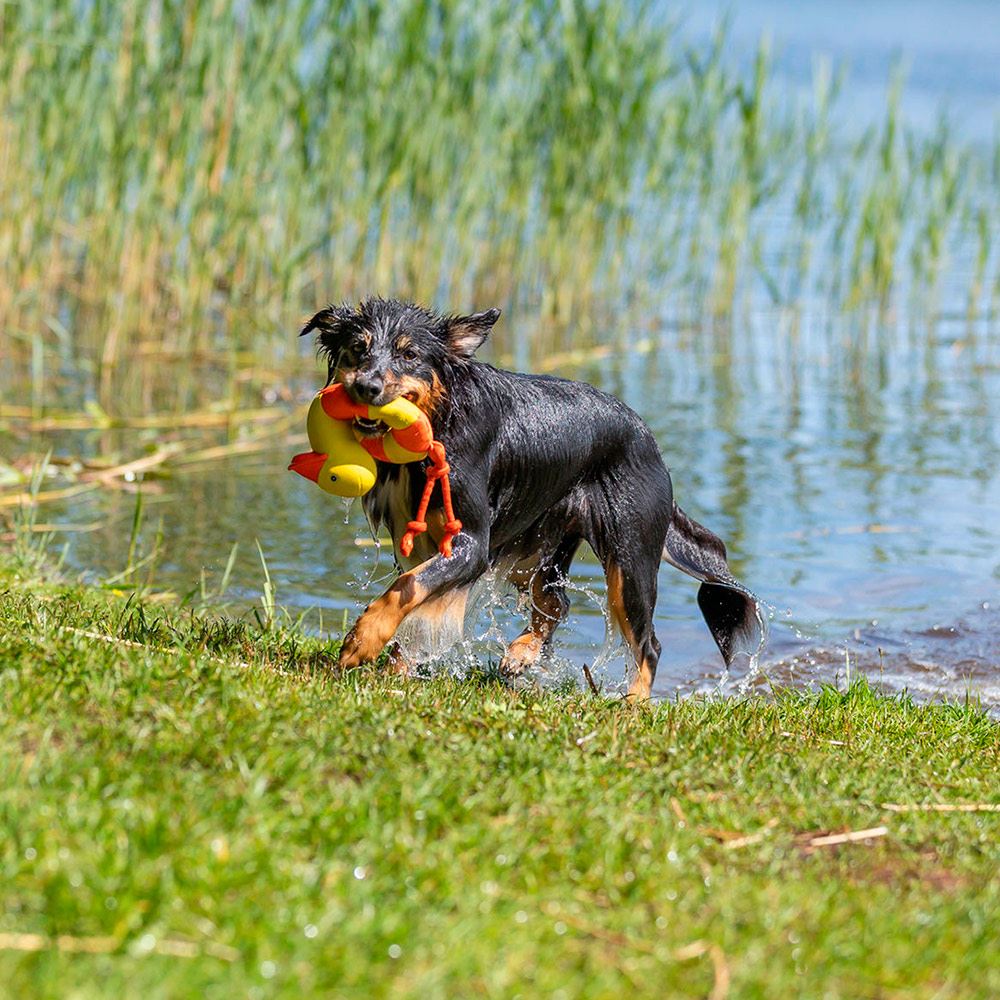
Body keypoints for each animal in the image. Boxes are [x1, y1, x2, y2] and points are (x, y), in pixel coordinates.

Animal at [300, 296, 760, 700]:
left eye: (409, 354)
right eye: (357, 348)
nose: (367, 386)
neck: (442, 417)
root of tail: (650, 441)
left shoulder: (473, 543)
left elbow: (407, 587)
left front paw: (361, 641)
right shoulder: (416, 541)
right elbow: (413, 591)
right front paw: (396, 670)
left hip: (629, 559)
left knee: (648, 643)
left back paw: (632, 706)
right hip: (537, 546)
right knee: (556, 600)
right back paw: (521, 654)